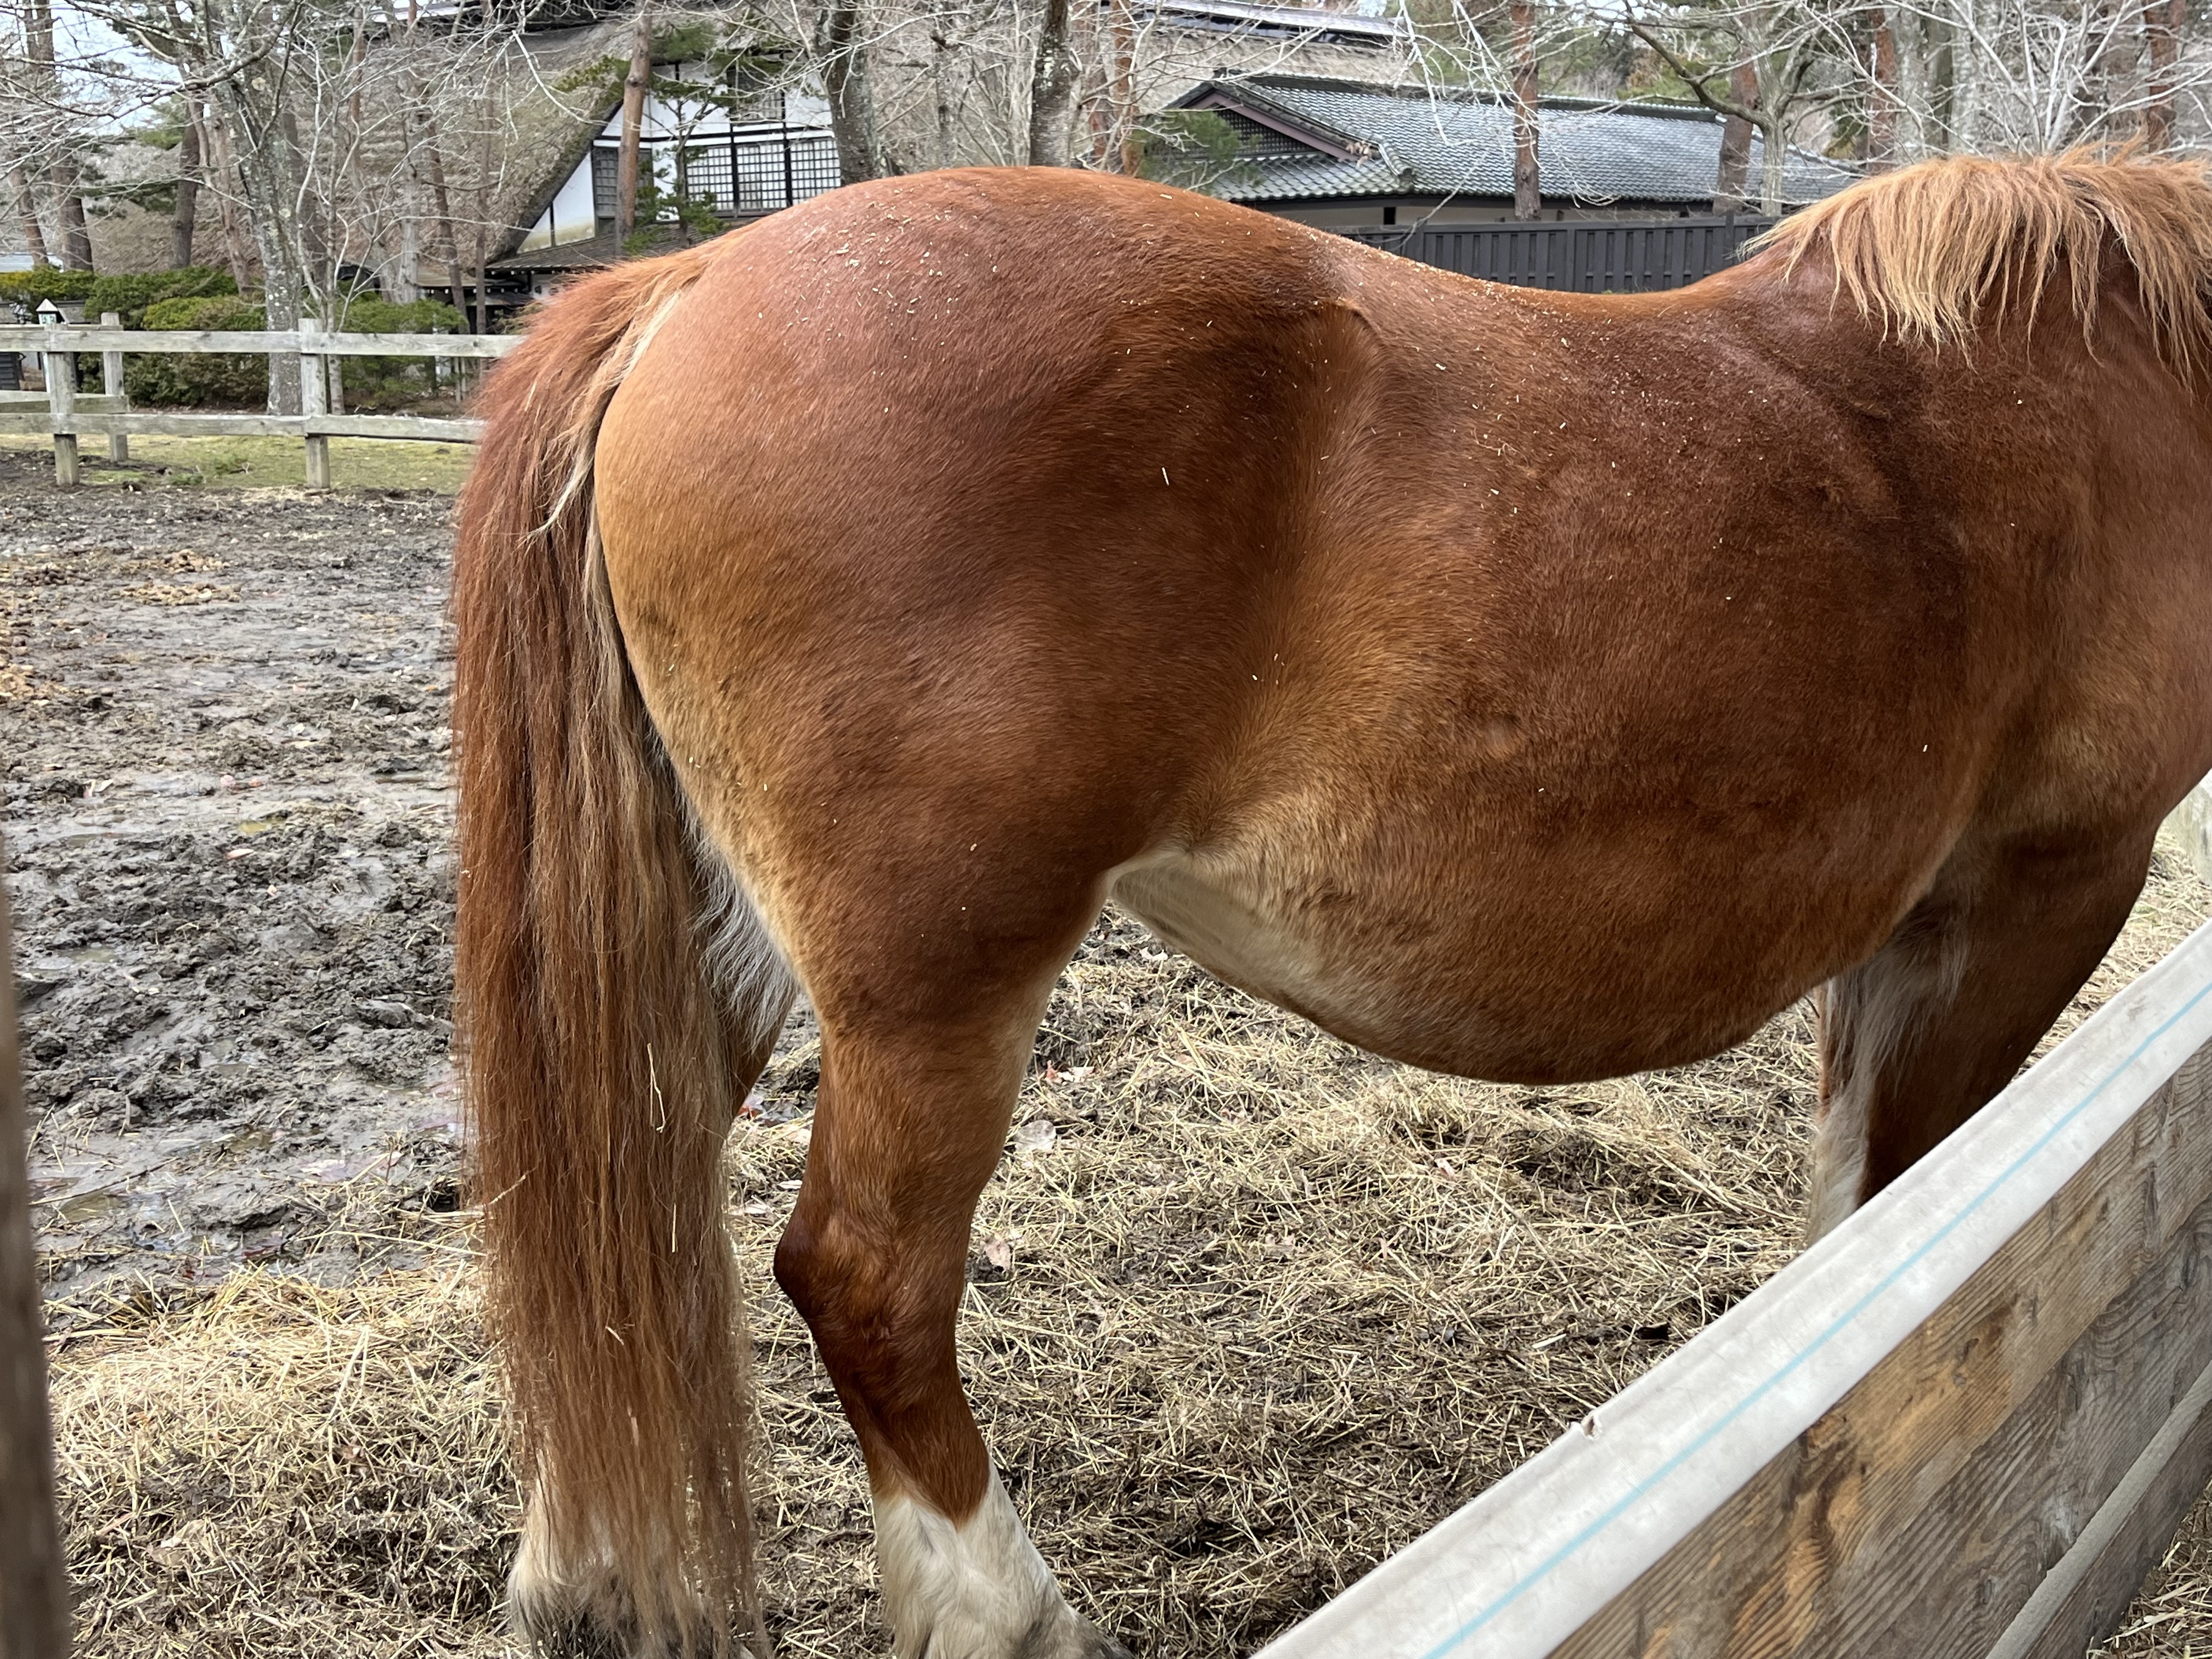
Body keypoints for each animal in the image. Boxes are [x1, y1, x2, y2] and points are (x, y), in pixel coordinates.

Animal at [451, 149, 2212, 1657]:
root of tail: (684, 283)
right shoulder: (2044, 885)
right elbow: (1912, 1206)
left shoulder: (1920, 922)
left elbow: (1855, 1208)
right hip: (937, 992)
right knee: (865, 1284)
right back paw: (1003, 1610)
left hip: (719, 957)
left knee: (619, 1215)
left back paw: (591, 1579)